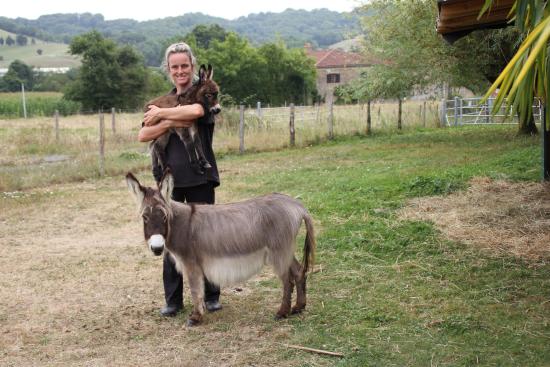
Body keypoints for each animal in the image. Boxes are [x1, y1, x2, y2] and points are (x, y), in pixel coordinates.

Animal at [124, 171, 314, 326]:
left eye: (164, 216)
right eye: (145, 217)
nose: (157, 248)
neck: (179, 225)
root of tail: (297, 205)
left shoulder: (191, 263)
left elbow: (195, 290)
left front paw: (196, 317)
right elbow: (198, 289)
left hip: (279, 250)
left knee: (287, 280)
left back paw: (282, 312)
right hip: (284, 251)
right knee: (298, 271)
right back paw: (299, 307)